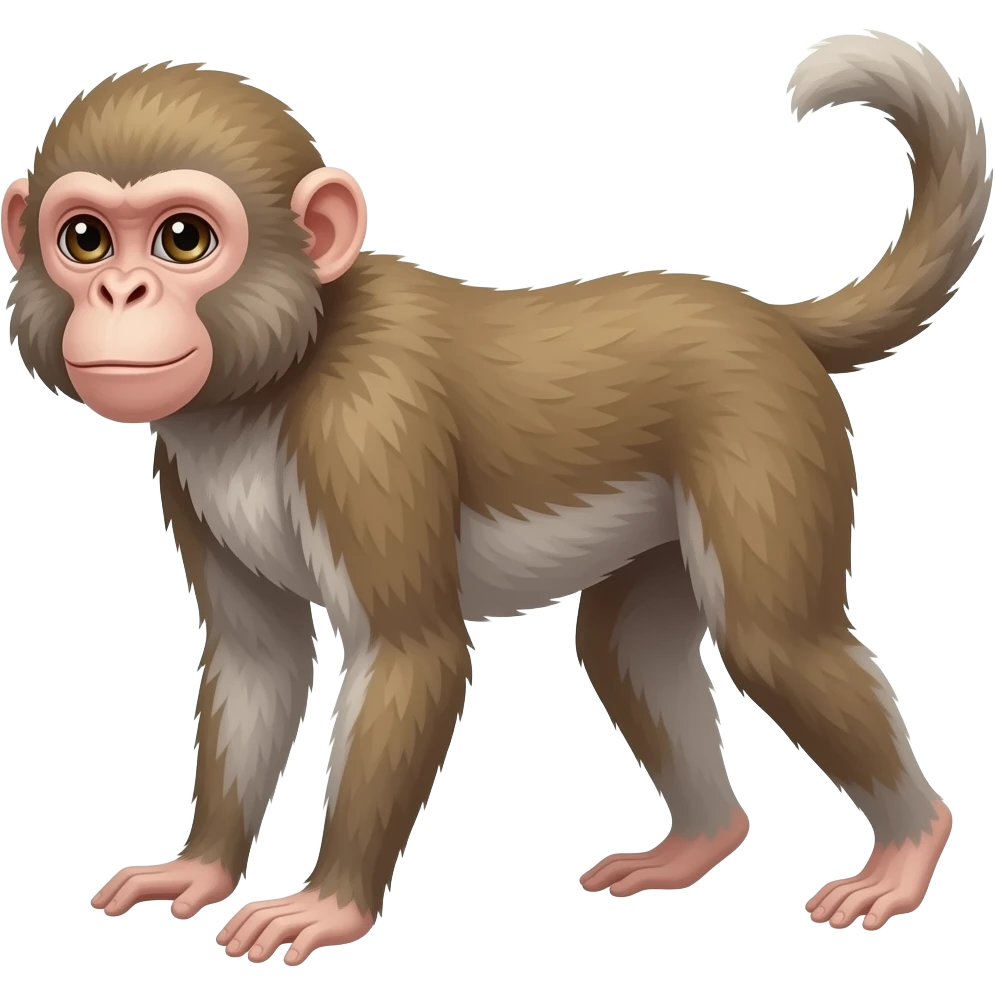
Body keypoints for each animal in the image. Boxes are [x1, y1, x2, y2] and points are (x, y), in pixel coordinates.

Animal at [2, 31, 989, 963]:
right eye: (85, 239)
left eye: (183, 239)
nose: (120, 292)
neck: (277, 373)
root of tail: (767, 318)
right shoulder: (183, 463)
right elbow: (257, 655)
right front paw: (201, 866)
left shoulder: (368, 428)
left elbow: (412, 652)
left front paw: (329, 904)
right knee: (625, 643)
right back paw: (701, 840)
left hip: (763, 429)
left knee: (770, 639)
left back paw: (909, 845)